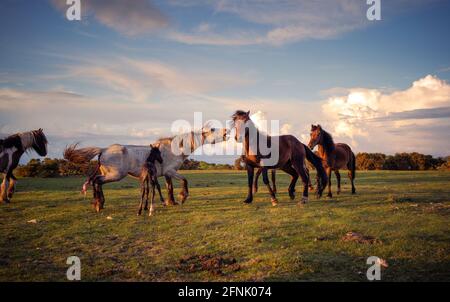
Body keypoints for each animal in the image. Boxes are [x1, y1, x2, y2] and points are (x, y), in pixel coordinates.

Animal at [63, 127, 227, 212]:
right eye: (213, 129)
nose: (226, 131)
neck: (172, 149)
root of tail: (103, 150)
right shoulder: (171, 171)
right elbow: (184, 181)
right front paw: (182, 197)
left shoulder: (166, 174)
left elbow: (169, 188)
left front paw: (171, 202)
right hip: (115, 175)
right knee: (97, 182)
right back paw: (98, 203)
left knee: (97, 182)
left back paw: (99, 203)